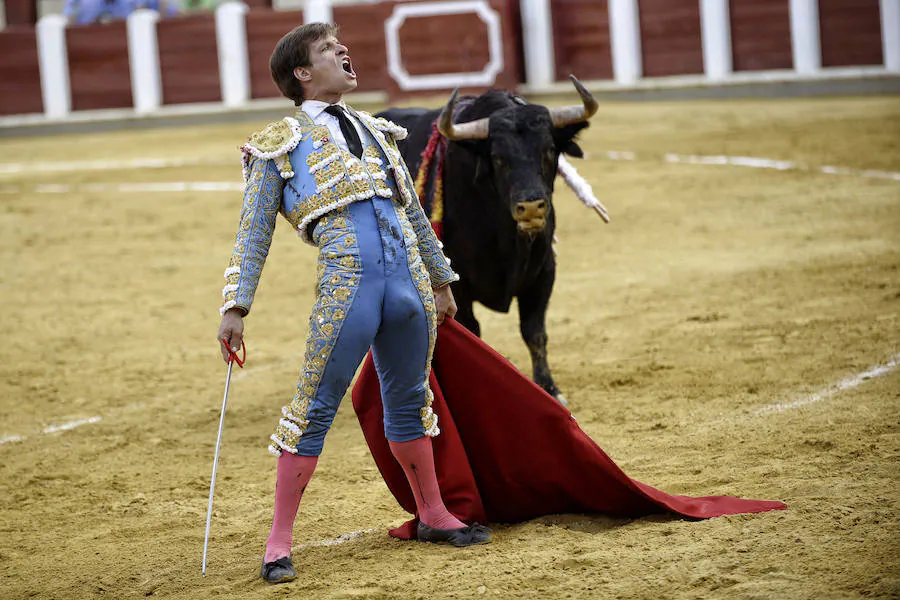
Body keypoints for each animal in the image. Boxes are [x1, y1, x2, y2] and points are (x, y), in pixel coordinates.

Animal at [378, 76, 596, 404]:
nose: (531, 207)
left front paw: (549, 389)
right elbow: (473, 330)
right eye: (498, 158)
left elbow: (534, 332)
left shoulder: (544, 271)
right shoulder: (458, 282)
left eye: (548, 150)